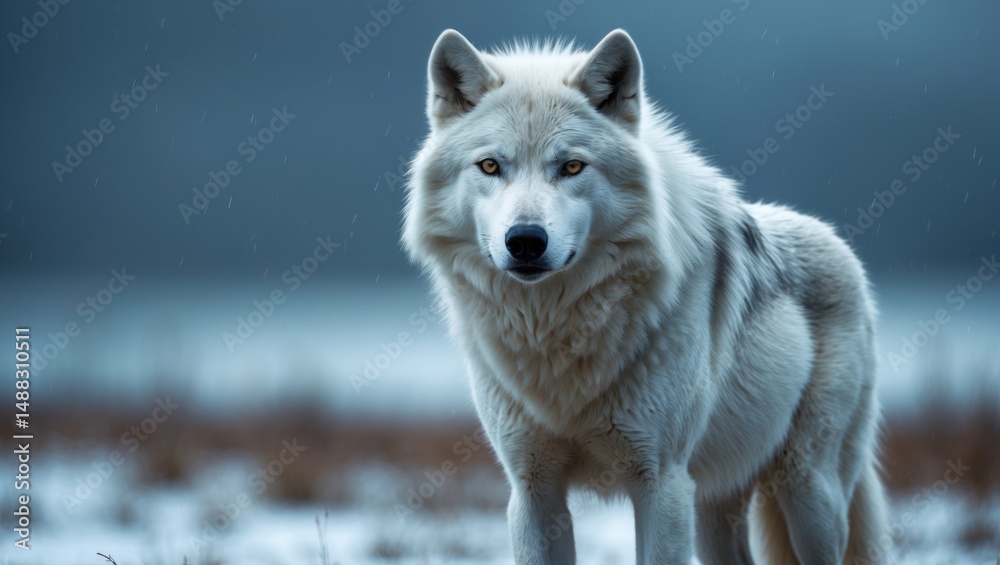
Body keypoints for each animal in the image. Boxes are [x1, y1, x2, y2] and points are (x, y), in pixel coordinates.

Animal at [402, 28, 888, 565]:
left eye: (572, 166)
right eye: (490, 165)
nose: (525, 240)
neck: (556, 331)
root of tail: (841, 244)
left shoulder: (661, 482)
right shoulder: (532, 489)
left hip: (807, 494)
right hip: (716, 506)